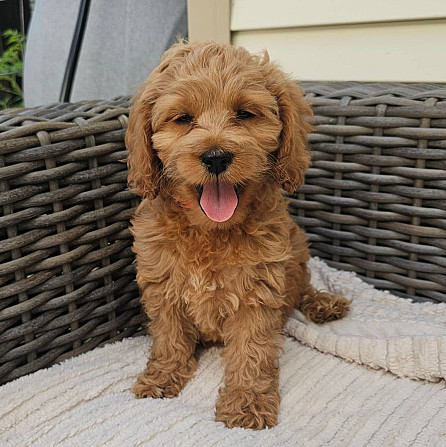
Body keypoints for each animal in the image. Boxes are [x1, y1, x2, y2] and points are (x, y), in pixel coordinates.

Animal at [124, 42, 348, 430]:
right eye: (183, 119)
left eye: (244, 114)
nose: (215, 157)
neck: (210, 230)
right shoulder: (163, 283)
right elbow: (169, 335)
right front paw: (161, 377)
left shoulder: (257, 290)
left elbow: (251, 350)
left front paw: (246, 403)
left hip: (297, 253)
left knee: (302, 287)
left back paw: (322, 303)